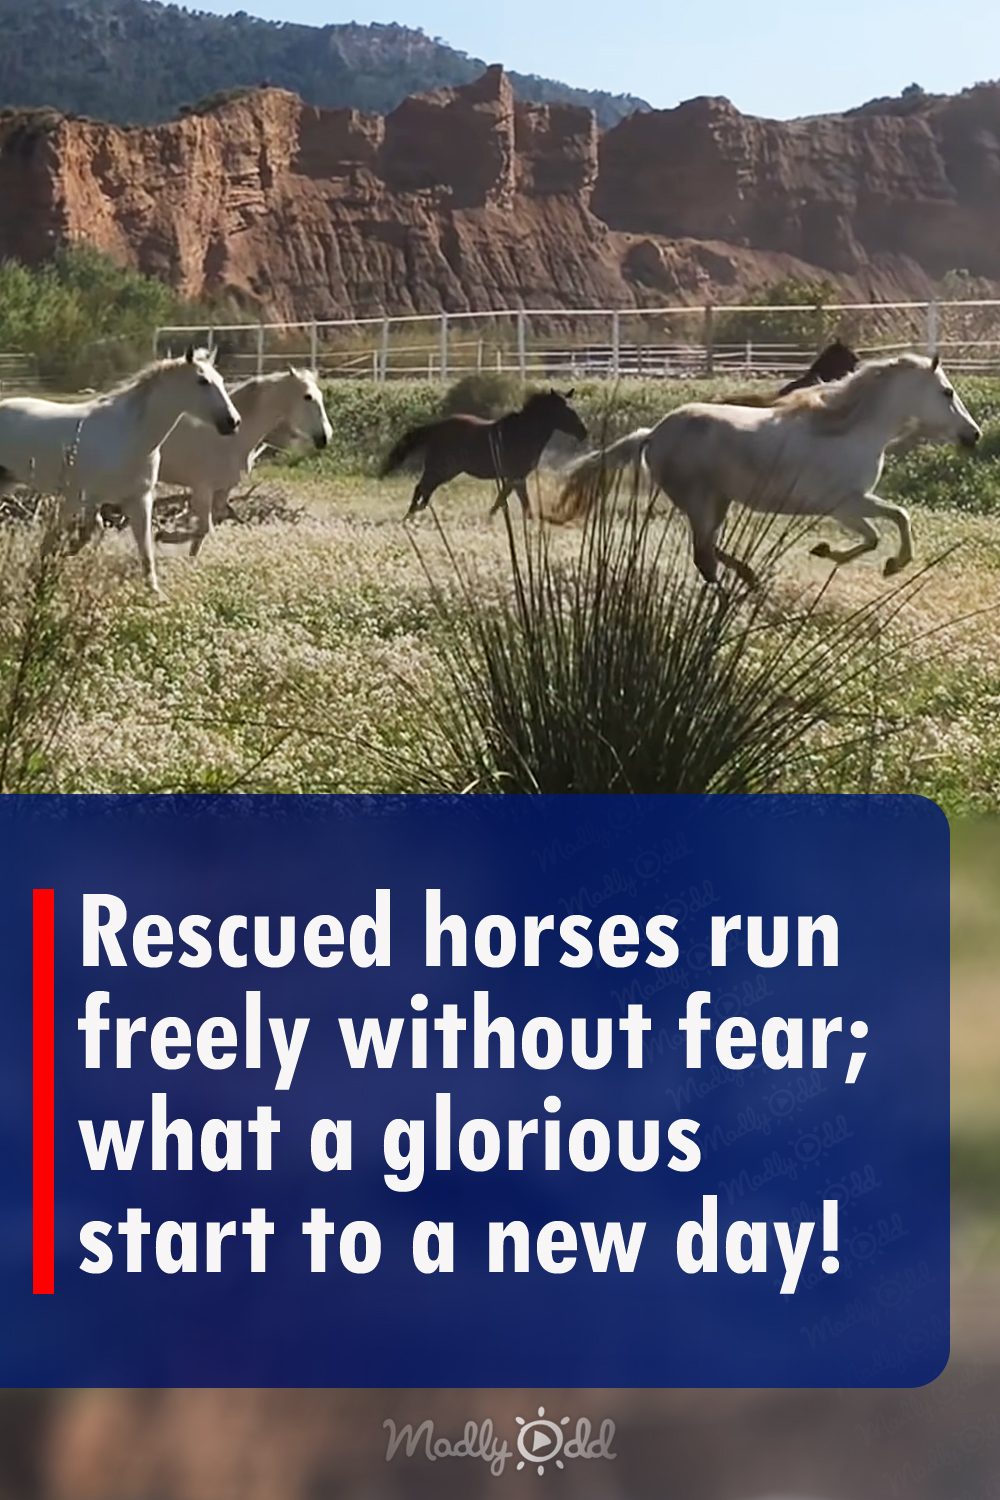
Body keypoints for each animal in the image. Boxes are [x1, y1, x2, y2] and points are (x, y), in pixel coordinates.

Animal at [0, 346, 240, 593]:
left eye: (221, 380)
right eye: (202, 381)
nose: (233, 422)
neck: (129, 435)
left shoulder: (138, 500)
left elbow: (143, 552)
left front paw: (155, 594)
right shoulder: (76, 499)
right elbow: (56, 539)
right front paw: (39, 575)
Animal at [153, 366, 332, 555]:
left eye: (320, 395)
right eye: (308, 396)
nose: (325, 437)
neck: (229, 439)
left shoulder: (222, 490)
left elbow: (204, 532)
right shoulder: (203, 489)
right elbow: (204, 529)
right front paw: (162, 535)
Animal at [380, 388, 587, 519]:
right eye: (567, 411)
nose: (583, 432)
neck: (523, 433)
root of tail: (435, 428)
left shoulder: (514, 477)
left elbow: (508, 499)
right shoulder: (516, 476)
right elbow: (515, 500)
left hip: (443, 471)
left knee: (426, 490)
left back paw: (416, 512)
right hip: (441, 469)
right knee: (421, 488)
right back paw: (409, 516)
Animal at [553, 355, 980, 586]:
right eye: (947, 392)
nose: (973, 435)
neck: (850, 430)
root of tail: (653, 433)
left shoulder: (850, 506)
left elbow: (882, 530)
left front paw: (832, 552)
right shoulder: (846, 504)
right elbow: (893, 522)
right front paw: (890, 564)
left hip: (718, 502)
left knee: (707, 550)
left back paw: (749, 579)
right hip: (699, 501)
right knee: (703, 555)